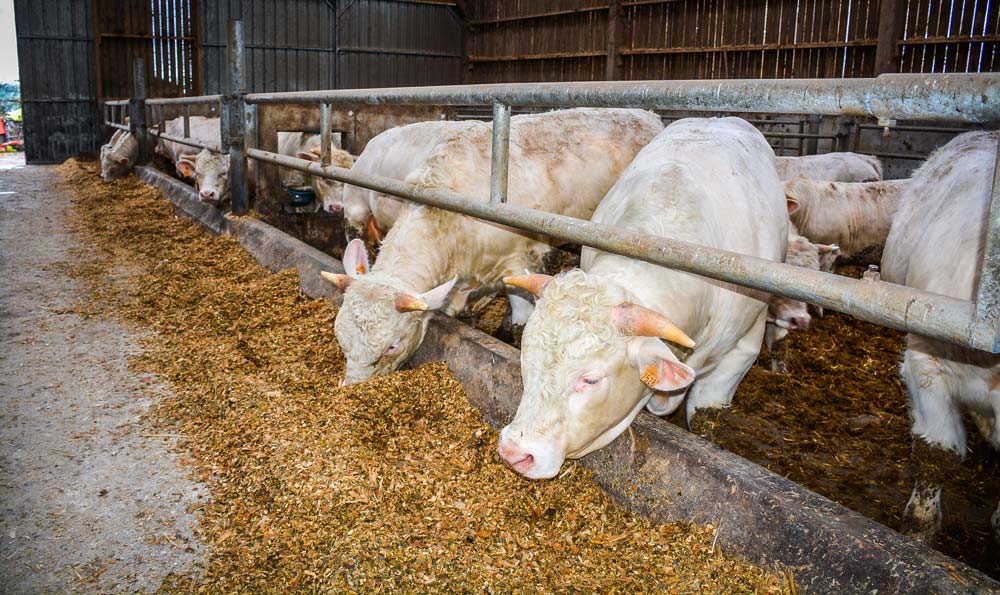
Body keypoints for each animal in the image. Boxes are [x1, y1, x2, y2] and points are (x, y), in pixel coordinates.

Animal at [320, 107, 664, 386]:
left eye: (391, 346)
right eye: (340, 337)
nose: (352, 389)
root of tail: (646, 114)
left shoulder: (518, 262)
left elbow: (522, 320)